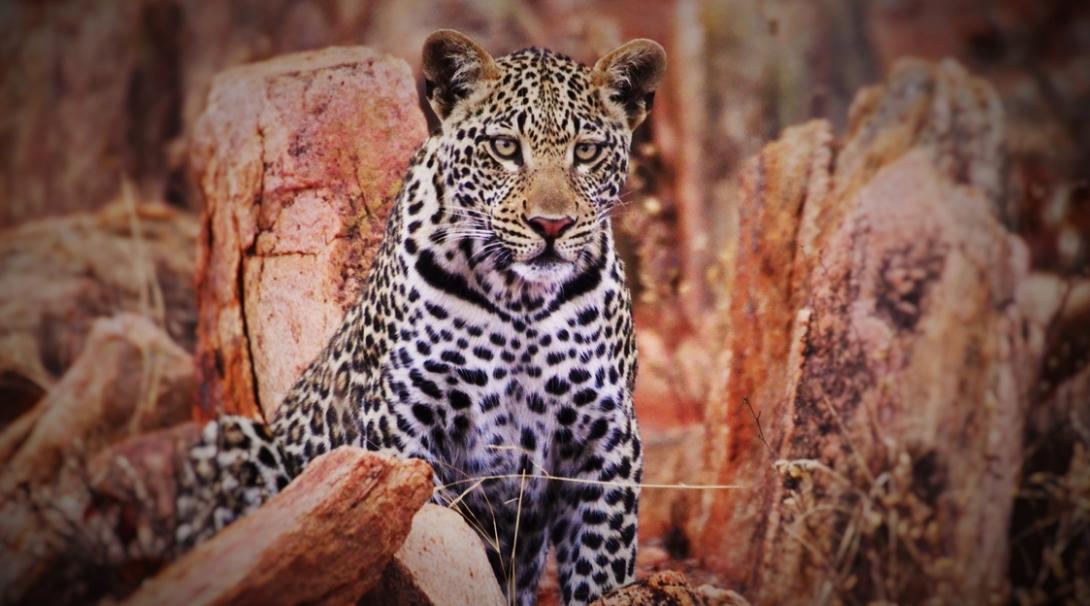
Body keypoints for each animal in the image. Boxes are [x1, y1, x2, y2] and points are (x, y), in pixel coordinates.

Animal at [175, 29, 666, 605]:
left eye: (587, 152)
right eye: (505, 148)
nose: (551, 225)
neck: (520, 298)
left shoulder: (606, 438)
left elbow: (602, 562)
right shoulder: (404, 426)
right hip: (231, 439)